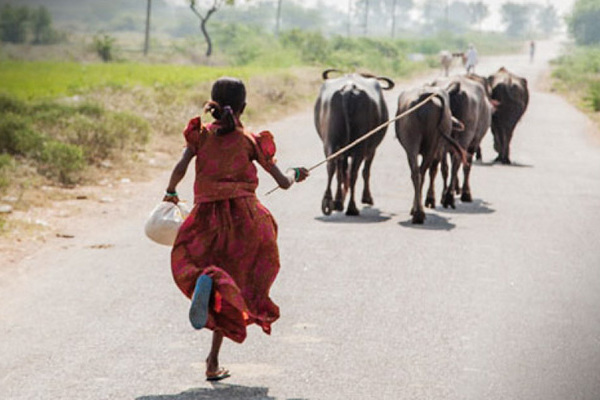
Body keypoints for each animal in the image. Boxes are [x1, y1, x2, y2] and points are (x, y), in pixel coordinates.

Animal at [314, 70, 394, 217]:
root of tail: (348, 89)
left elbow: (341, 172)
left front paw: (338, 201)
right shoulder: (372, 150)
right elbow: (365, 171)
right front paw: (367, 198)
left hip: (331, 143)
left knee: (332, 167)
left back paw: (328, 202)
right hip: (360, 147)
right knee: (353, 173)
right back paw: (352, 207)